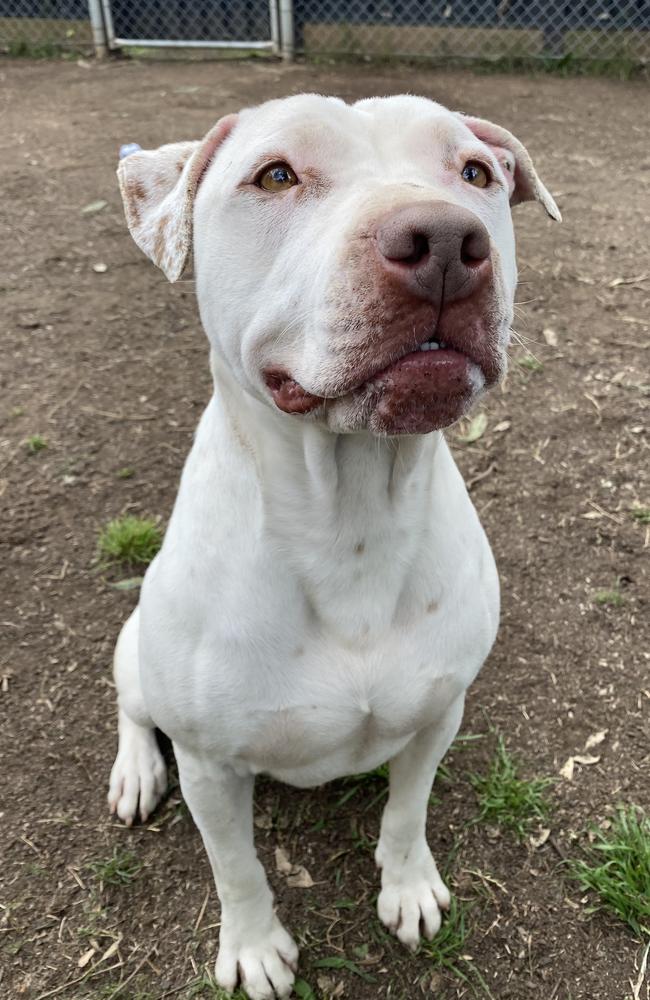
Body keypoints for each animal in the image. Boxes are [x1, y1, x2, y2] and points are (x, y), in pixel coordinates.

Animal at [106, 90, 556, 996]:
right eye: (276, 175)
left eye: (475, 172)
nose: (446, 241)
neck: (351, 515)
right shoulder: (210, 766)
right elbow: (237, 867)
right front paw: (253, 949)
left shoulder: (440, 711)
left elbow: (407, 811)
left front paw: (408, 888)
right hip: (135, 646)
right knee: (131, 706)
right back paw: (135, 770)